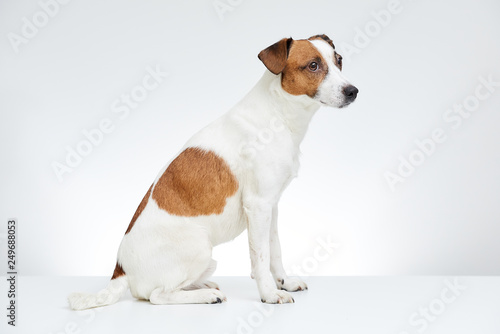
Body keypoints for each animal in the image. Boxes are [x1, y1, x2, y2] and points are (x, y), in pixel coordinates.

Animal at [68, 34, 358, 310]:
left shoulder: (271, 206)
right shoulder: (258, 205)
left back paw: (202, 285)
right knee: (157, 296)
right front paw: (269, 294)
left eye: (339, 60)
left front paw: (283, 283)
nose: (353, 91)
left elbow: (274, 251)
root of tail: (120, 272)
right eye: (313, 65)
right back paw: (206, 296)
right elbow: (260, 258)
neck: (278, 115)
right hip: (199, 247)